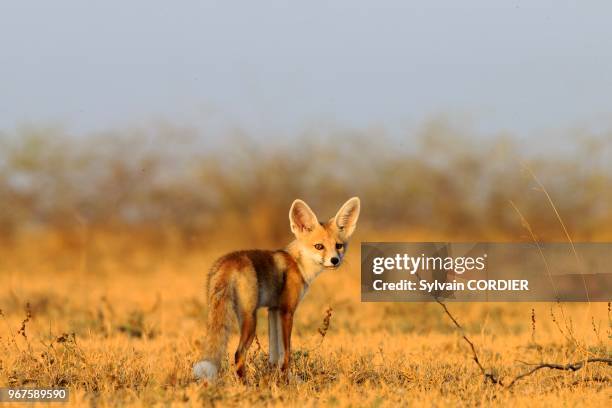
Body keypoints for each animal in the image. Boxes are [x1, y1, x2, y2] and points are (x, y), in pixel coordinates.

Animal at [194, 198, 360, 382]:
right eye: (319, 246)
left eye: (339, 246)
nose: (335, 260)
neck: (298, 264)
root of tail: (229, 261)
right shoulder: (287, 310)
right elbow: (286, 351)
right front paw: (286, 379)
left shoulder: (273, 310)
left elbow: (275, 353)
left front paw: (274, 377)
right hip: (250, 319)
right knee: (238, 354)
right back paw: (245, 384)